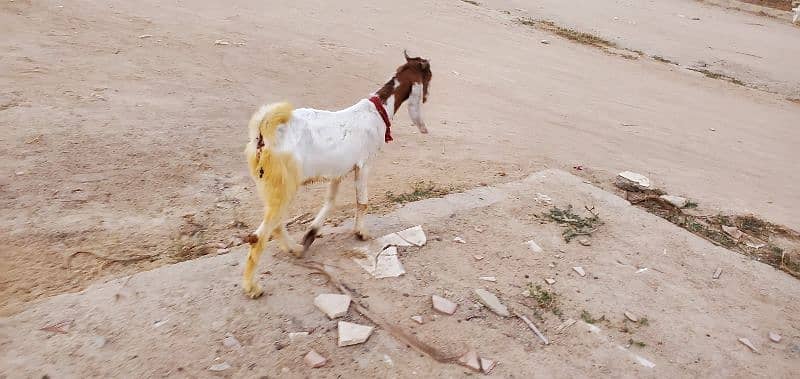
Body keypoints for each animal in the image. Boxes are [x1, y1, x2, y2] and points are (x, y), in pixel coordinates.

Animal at [242, 51, 432, 300]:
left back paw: (295, 248)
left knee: (275, 224)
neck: (379, 110)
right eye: (428, 75)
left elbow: (330, 202)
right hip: (283, 185)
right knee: (259, 235)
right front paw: (361, 233)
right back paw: (252, 287)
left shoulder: (338, 172)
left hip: (271, 186)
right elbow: (362, 202)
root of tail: (263, 134)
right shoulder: (364, 165)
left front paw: (311, 233)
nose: (427, 96)